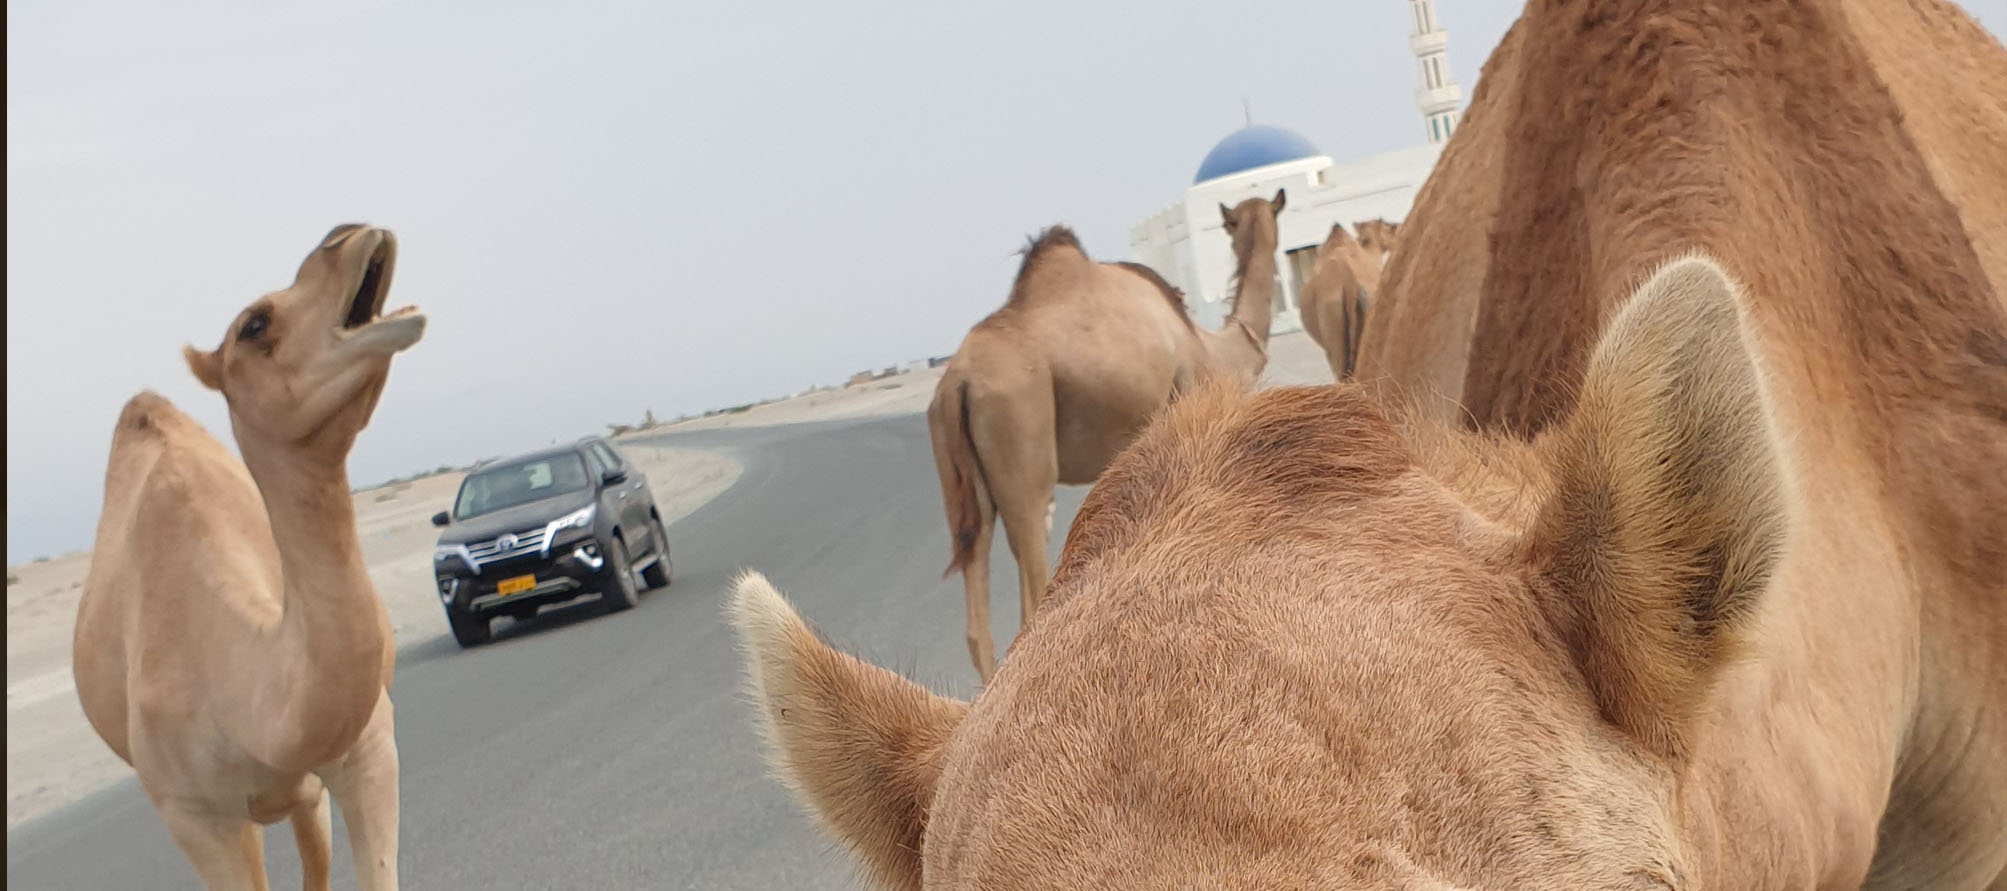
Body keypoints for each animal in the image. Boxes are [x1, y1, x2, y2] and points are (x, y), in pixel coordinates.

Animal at [926, 191, 1285, 684]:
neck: (1213, 350)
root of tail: (958, 382)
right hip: (1022, 440)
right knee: (1028, 599)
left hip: (960, 485)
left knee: (976, 601)